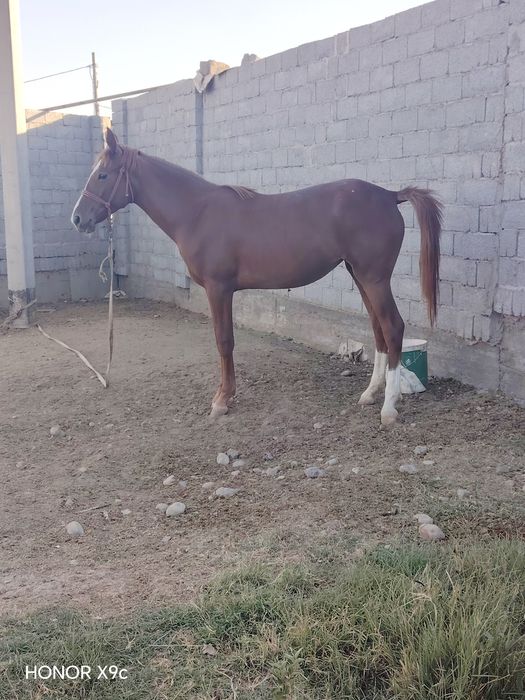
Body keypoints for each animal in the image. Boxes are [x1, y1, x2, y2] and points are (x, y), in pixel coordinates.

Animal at [72, 128, 442, 425]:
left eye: (103, 174)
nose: (77, 219)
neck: (198, 212)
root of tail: (389, 195)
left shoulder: (219, 289)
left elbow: (224, 341)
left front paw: (222, 400)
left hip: (374, 278)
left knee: (393, 328)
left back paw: (388, 409)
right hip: (361, 276)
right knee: (378, 331)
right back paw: (369, 395)